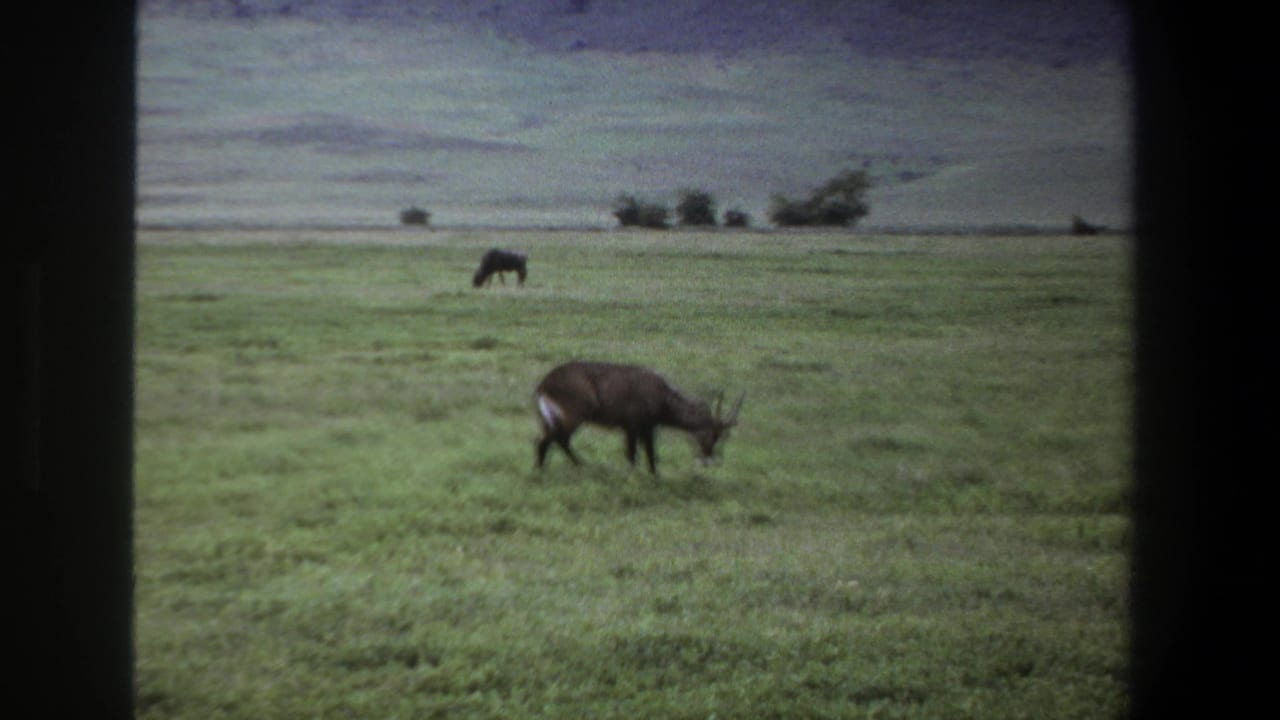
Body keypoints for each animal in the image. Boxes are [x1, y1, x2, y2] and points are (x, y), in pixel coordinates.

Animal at [534, 361, 743, 474]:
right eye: (712, 435)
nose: (708, 461)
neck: (662, 397)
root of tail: (544, 384)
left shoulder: (643, 428)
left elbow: (649, 455)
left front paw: (653, 478)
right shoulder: (634, 426)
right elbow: (635, 455)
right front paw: (634, 477)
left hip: (554, 418)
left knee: (550, 440)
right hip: (575, 414)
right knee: (555, 440)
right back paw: (582, 467)